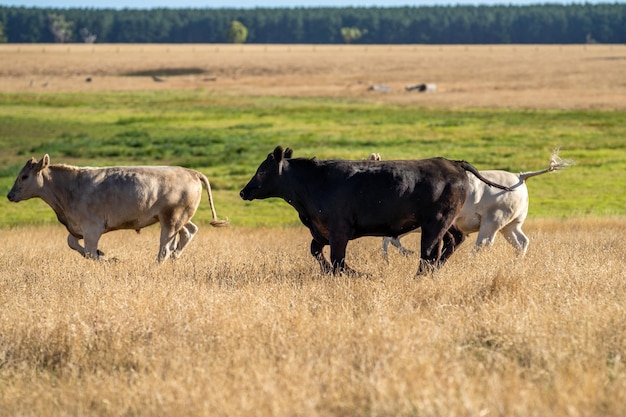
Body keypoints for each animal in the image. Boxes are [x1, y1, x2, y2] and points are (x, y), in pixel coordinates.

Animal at [7, 154, 228, 262]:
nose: (10, 195)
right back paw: (176, 256)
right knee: (188, 231)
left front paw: (108, 258)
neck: (70, 187)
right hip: (178, 218)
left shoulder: (92, 227)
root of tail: (191, 172)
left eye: (24, 176)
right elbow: (73, 243)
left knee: (165, 249)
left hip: (171, 219)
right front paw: (102, 253)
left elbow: (90, 253)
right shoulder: (78, 227)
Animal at [239, 146, 508, 276]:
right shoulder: (321, 232)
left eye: (262, 170)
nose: (244, 191)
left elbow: (338, 261)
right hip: (446, 221)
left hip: (436, 222)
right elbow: (317, 253)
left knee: (430, 251)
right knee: (454, 240)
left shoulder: (339, 231)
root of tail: (453, 163)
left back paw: (421, 276)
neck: (313, 182)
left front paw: (358, 274)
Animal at [370, 148, 572, 255]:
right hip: (511, 225)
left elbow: (389, 240)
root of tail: (520, 176)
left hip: (492, 221)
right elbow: (389, 241)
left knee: (483, 244)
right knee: (521, 241)